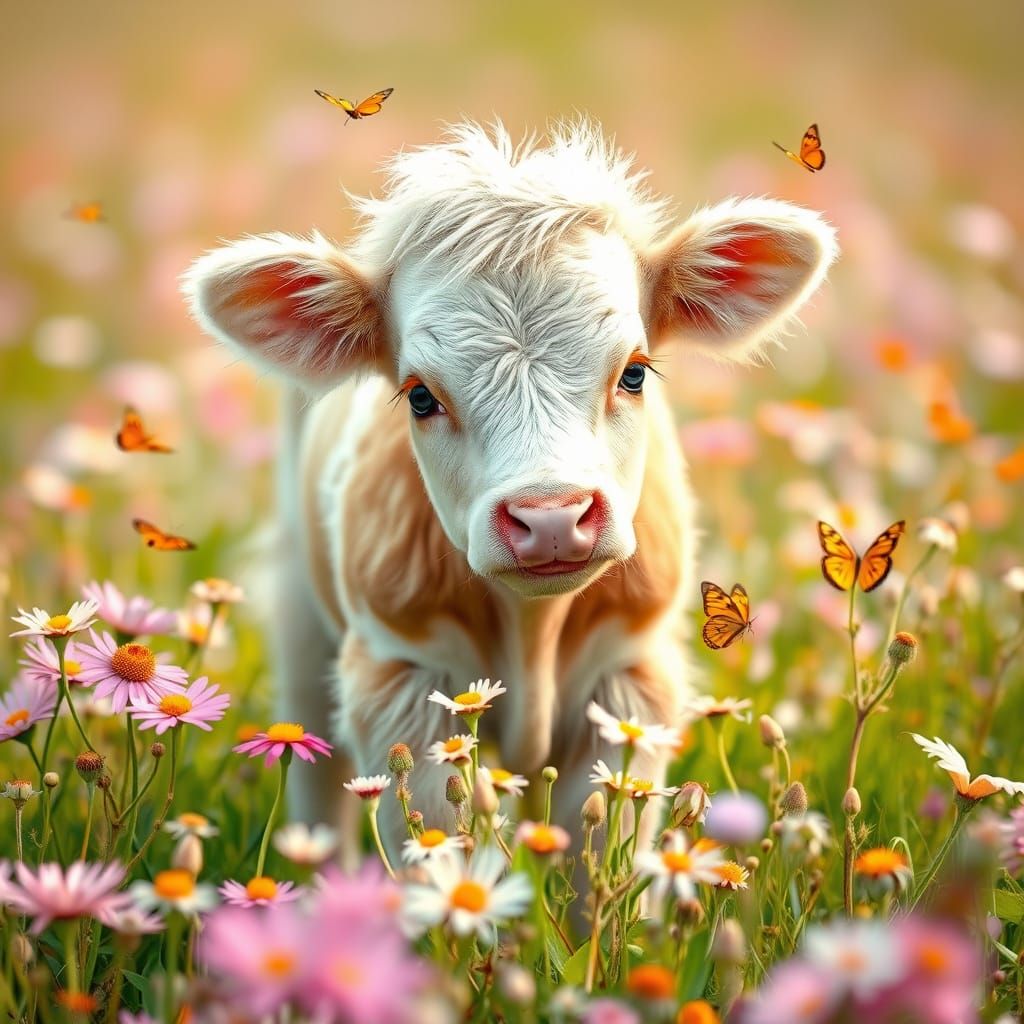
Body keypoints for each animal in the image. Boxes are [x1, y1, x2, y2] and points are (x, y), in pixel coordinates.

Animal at [183, 120, 836, 853]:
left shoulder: (632, 681)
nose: (551, 518)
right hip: (301, 605)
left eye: (635, 372)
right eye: (419, 396)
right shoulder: (398, 679)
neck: (532, 631)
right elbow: (434, 835)